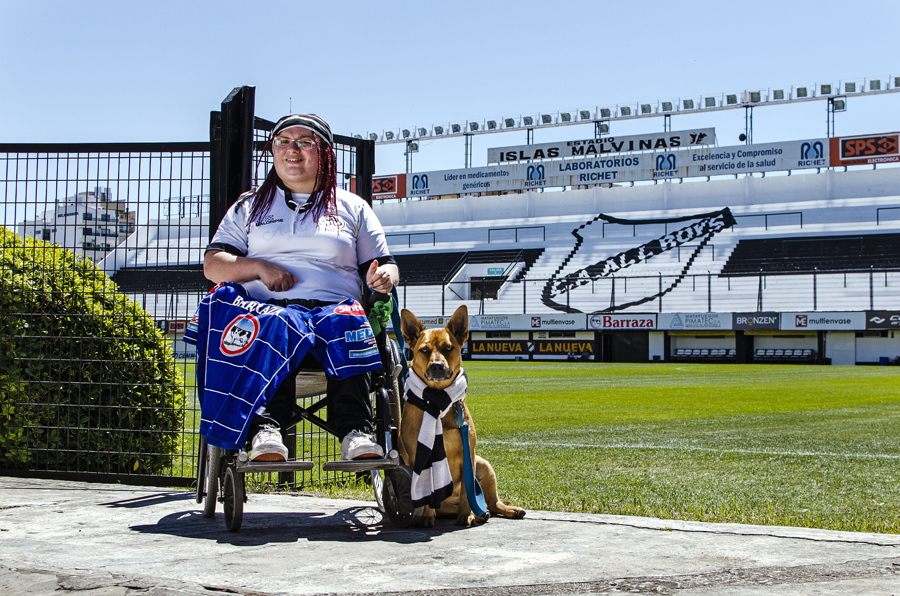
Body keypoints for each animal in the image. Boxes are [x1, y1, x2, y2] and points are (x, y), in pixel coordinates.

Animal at [399, 304, 526, 527]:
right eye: (424, 350)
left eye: (448, 348)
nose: (437, 366)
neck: (438, 402)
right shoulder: (418, 458)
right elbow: (426, 493)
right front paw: (426, 517)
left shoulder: (469, 454)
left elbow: (468, 491)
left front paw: (466, 515)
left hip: (483, 465)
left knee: (492, 503)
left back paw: (496, 511)